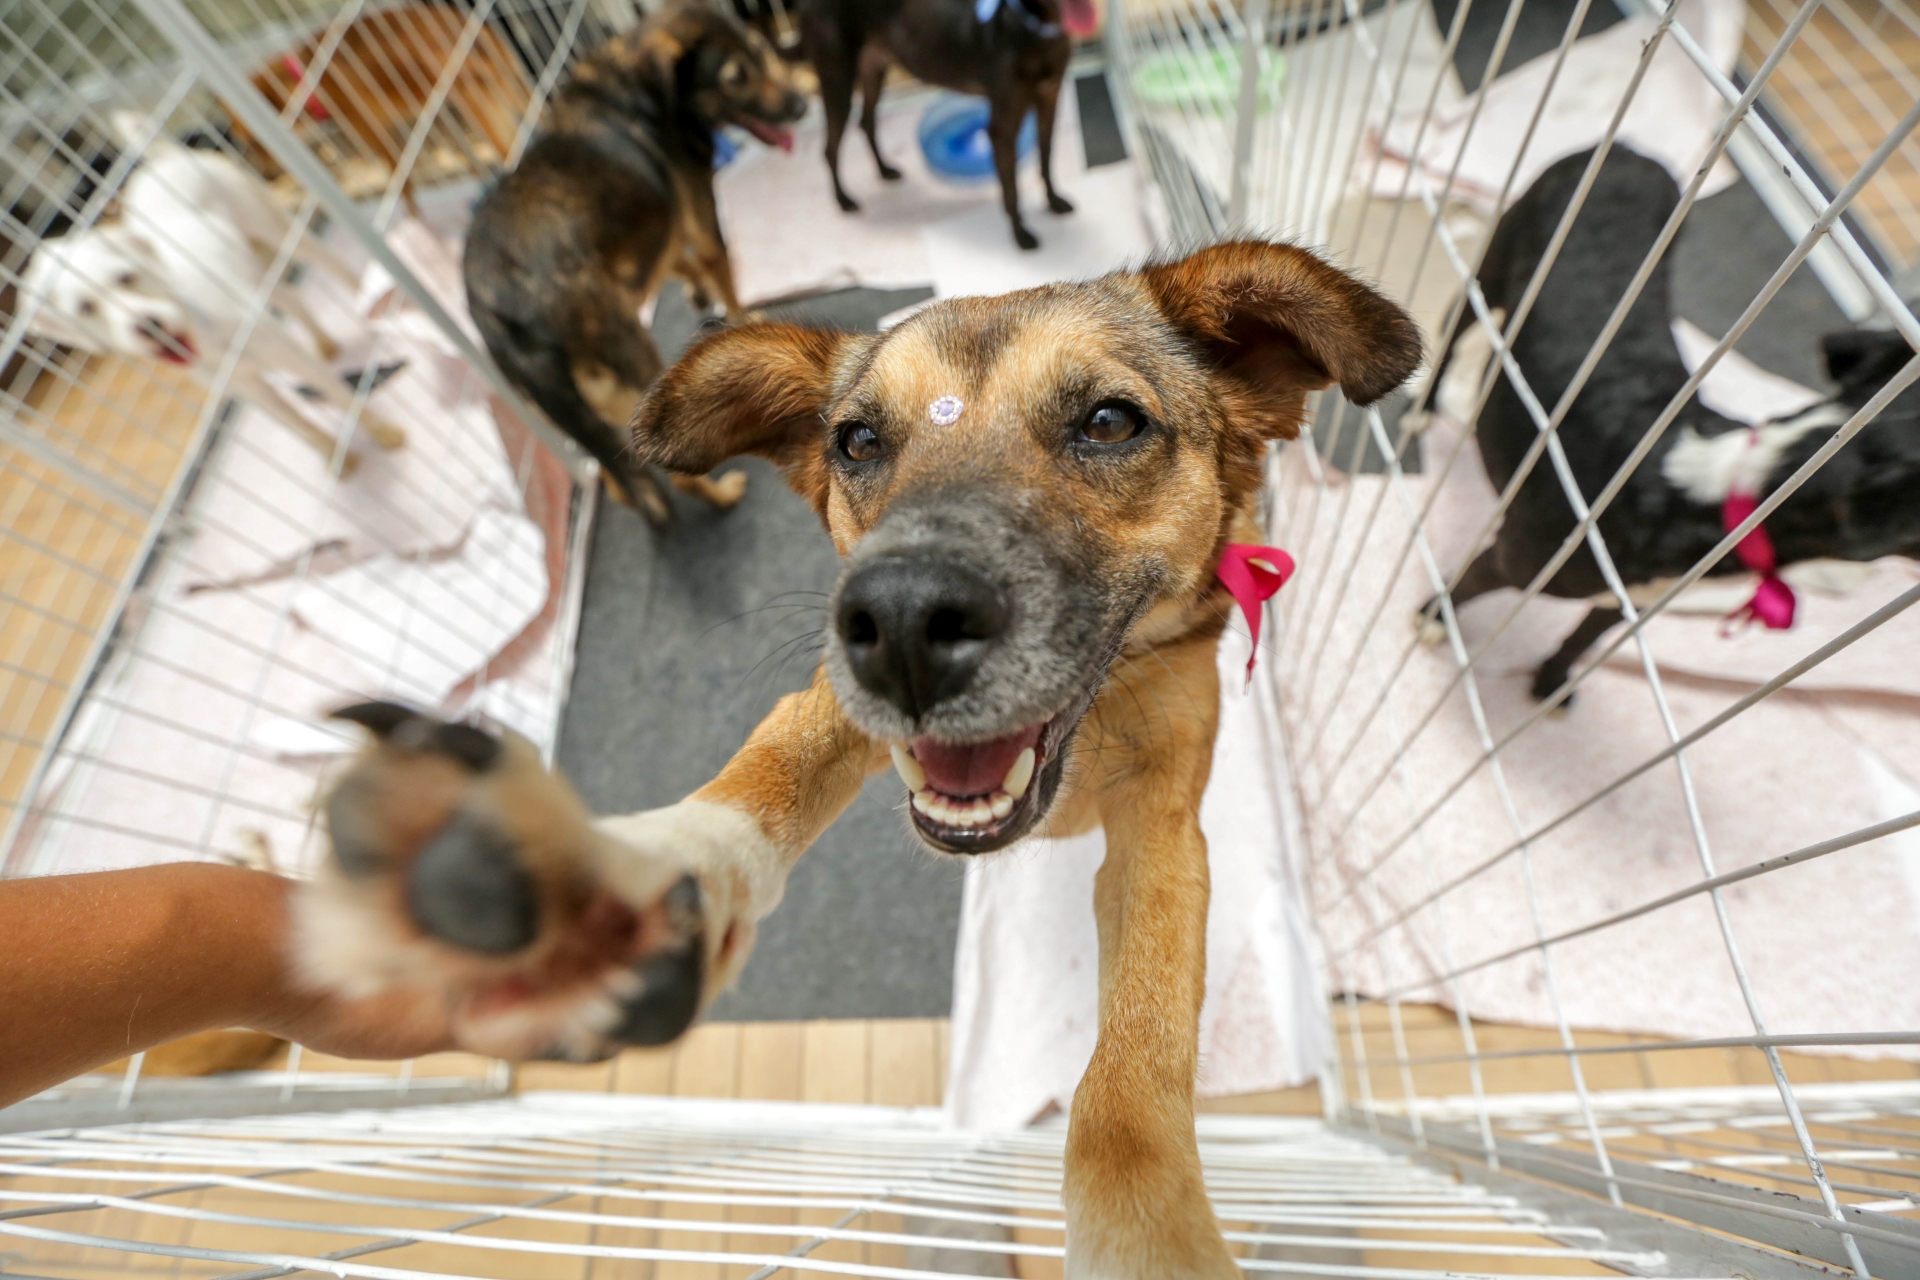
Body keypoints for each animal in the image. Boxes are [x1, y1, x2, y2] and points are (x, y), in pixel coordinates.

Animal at [291, 237, 1420, 1274]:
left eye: (1110, 422)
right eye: (859, 439)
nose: (905, 621)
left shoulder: (1166, 829)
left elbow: (1135, 1064)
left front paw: (1147, 1233)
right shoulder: (834, 700)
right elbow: (766, 773)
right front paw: (653, 864)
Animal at [798, 0, 1098, 253]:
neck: (1033, 27)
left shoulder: (1050, 101)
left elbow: (1046, 159)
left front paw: (1054, 202)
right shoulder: (1001, 127)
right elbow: (1011, 190)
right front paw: (1020, 234)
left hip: (873, 66)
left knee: (866, 122)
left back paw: (884, 170)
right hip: (838, 81)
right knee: (829, 148)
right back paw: (843, 200)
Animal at [1428, 150, 1920, 706]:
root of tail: (1629, 152)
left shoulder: (1632, 600)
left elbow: (1582, 637)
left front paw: (1552, 683)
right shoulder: (1516, 561)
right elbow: (1464, 586)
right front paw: (1433, 622)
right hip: (1494, 263)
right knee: (1454, 329)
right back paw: (1423, 408)